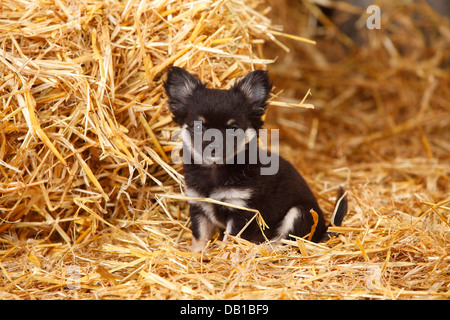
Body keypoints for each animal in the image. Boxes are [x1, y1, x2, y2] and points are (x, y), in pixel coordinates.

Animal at [163, 67, 346, 252]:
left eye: (233, 128)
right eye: (199, 127)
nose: (214, 146)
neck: (215, 170)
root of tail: (323, 228)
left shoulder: (242, 211)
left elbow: (231, 240)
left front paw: (225, 254)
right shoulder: (199, 206)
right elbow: (200, 236)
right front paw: (198, 253)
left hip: (299, 213)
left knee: (283, 241)